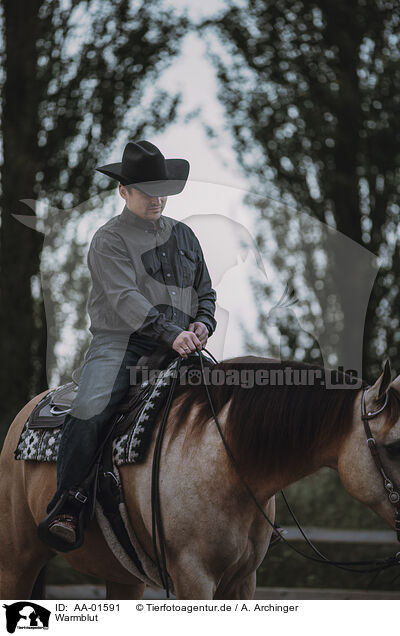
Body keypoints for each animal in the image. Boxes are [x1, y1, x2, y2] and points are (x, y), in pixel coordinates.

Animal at [1, 356, 400, 600]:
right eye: (394, 447)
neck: (227, 463)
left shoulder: (242, 581)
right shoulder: (193, 578)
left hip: (123, 576)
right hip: (17, 560)